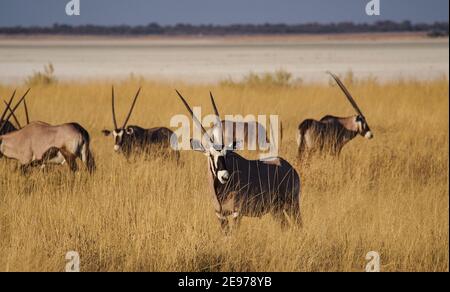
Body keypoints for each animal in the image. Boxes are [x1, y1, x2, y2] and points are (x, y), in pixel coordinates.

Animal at [174, 90, 300, 234]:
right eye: (211, 155)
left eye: (227, 154)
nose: (224, 176)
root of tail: (290, 168)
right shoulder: (220, 215)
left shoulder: (236, 213)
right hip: (276, 210)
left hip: (293, 205)